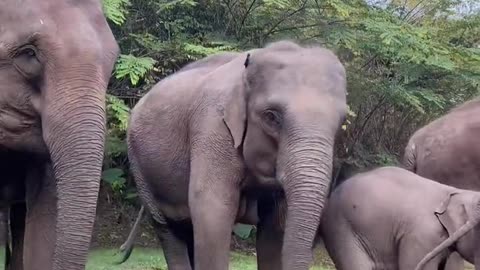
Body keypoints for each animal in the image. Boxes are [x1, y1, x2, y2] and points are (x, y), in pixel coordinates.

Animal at [125, 40, 346, 270]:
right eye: (271, 116)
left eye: (342, 121)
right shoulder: (211, 127)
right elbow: (212, 212)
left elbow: (276, 226)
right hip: (140, 167)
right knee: (167, 229)